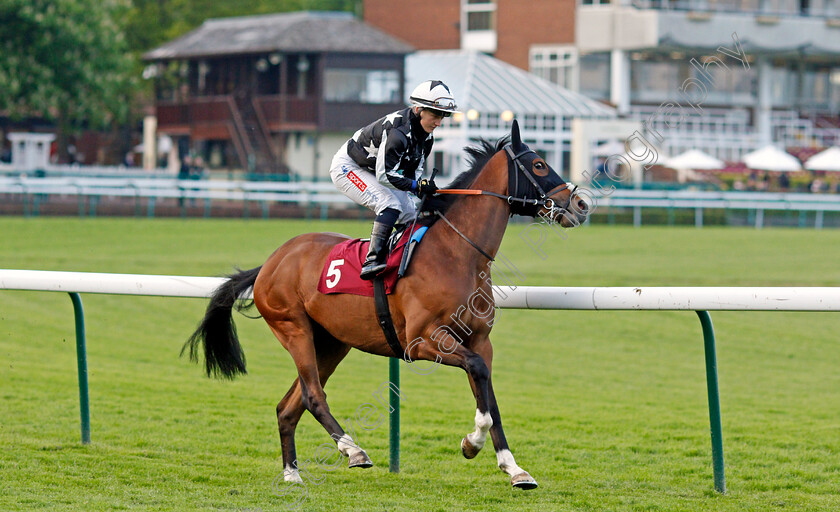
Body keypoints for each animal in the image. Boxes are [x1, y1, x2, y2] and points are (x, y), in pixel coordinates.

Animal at [186, 119, 588, 488]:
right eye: (539, 164)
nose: (581, 204)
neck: (457, 253)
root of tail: (271, 262)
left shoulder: (479, 341)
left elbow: (489, 397)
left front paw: (513, 468)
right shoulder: (422, 341)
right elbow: (478, 379)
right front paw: (471, 444)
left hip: (331, 343)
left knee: (289, 406)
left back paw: (292, 474)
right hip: (293, 328)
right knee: (313, 396)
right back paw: (353, 450)